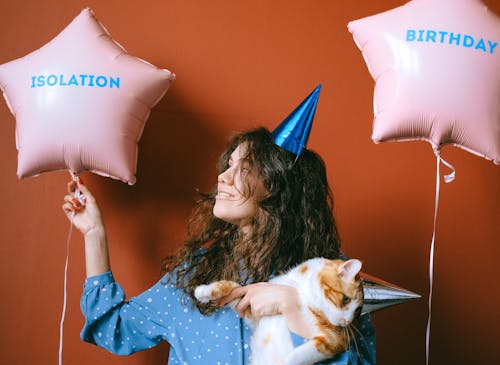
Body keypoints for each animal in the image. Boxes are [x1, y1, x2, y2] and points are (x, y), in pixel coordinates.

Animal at [194, 256, 364, 364]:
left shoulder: (334, 342)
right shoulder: (254, 311)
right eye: (346, 300)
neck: (302, 293)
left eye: (357, 311)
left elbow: (293, 358)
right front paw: (205, 291)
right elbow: (235, 288)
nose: (347, 321)